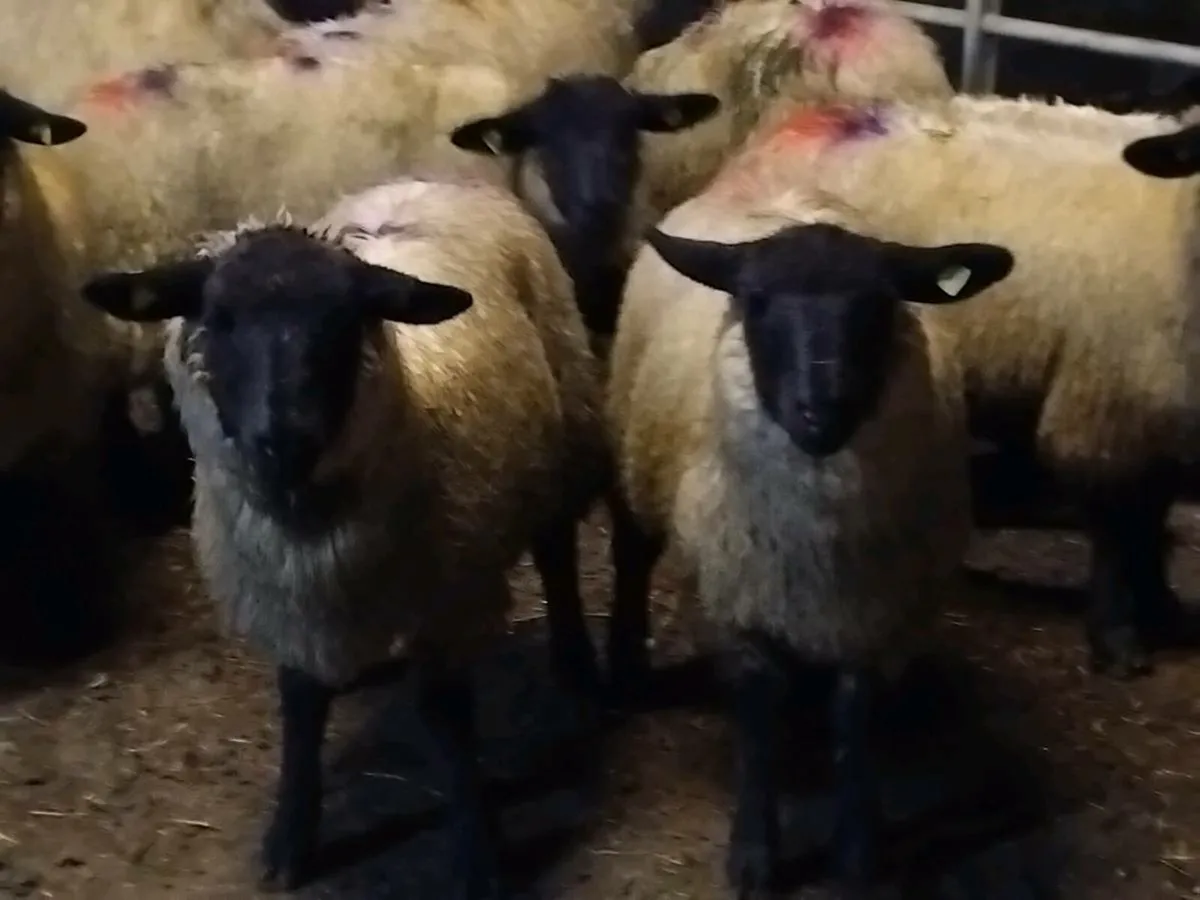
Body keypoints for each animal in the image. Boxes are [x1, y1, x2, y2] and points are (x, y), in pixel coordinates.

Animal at [78, 172, 608, 896]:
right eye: (219, 318)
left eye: (341, 321)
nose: (285, 438)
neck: (305, 522)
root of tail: (424, 180)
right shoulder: (289, 599)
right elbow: (301, 711)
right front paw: (291, 836)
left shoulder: (446, 599)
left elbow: (447, 721)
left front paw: (478, 851)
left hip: (569, 410)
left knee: (556, 547)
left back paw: (577, 661)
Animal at [603, 178, 1013, 894]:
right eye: (756, 300)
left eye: (877, 304)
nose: (820, 409)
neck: (818, 538)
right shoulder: (738, 596)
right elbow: (758, 715)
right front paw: (755, 856)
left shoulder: (877, 612)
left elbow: (855, 714)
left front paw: (857, 854)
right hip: (634, 444)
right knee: (631, 550)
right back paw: (627, 667)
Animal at [705, 94, 1200, 680]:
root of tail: (811, 120)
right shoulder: (1108, 412)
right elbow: (1121, 533)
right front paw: (1119, 637)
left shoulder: (1162, 413)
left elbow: (1152, 518)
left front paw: (1165, 611)